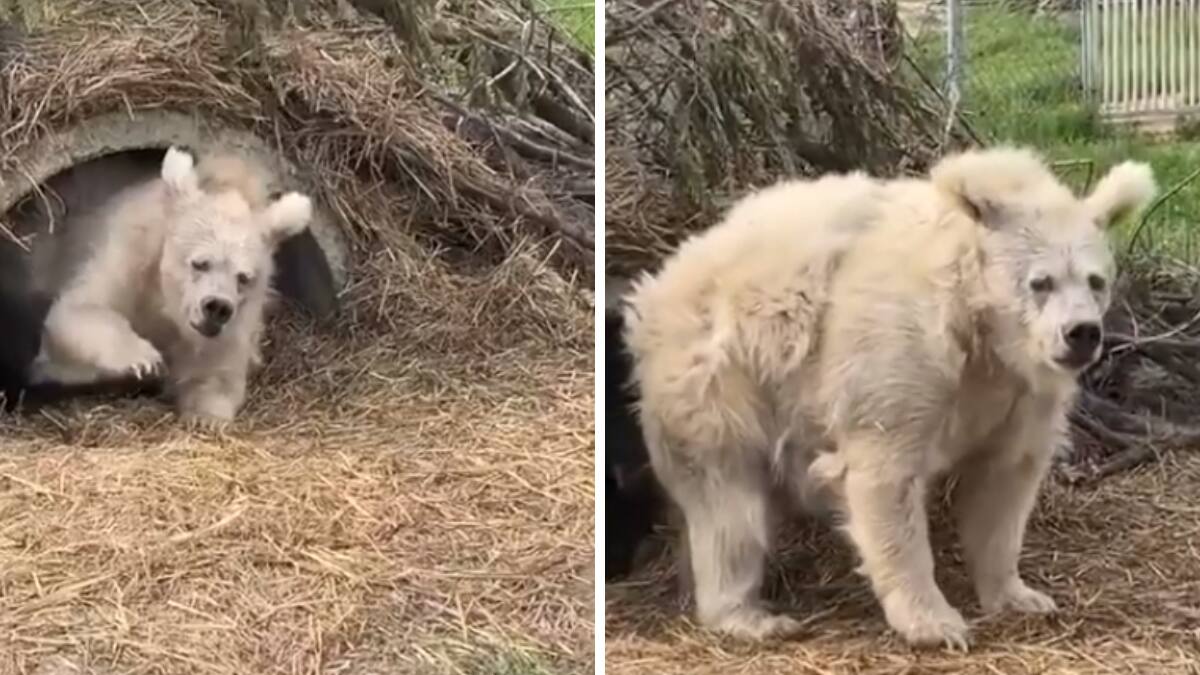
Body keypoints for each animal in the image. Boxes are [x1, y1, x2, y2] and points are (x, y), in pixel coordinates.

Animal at [28, 146, 313, 425]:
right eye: (200, 263)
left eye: (243, 277)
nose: (217, 307)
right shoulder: (128, 253)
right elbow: (78, 309)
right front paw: (144, 360)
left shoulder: (237, 322)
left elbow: (216, 371)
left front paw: (205, 417)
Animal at [619, 147, 1156, 648]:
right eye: (1040, 282)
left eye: (1095, 280)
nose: (1081, 333)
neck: (978, 328)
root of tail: (659, 285)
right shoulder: (899, 354)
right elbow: (886, 476)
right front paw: (935, 623)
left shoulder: (1016, 394)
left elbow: (1003, 485)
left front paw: (1020, 595)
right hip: (720, 379)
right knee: (728, 504)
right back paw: (750, 616)